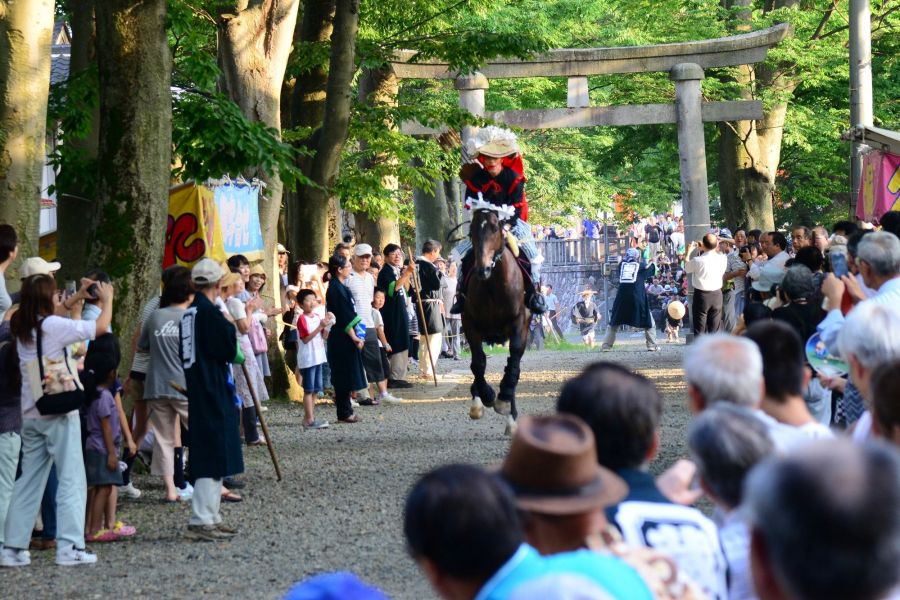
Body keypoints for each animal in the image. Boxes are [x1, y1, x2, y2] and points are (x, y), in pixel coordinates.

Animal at [460, 209, 532, 434]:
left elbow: (513, 362)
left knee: (514, 363)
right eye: (472, 229)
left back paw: (510, 414)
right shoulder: (470, 323)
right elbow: (478, 362)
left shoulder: (518, 322)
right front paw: (485, 396)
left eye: (494, 228)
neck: (492, 285)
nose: (482, 269)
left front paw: (502, 400)